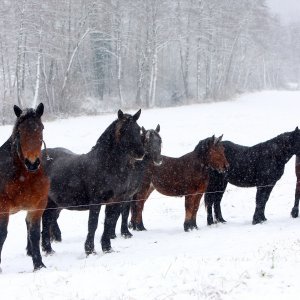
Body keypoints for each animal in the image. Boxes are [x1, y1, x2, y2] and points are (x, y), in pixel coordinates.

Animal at [0, 103, 49, 272]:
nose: (32, 162)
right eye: (20, 131)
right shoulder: (3, 208)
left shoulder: (37, 207)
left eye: (41, 128)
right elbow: (2, 235)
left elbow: (34, 234)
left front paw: (39, 265)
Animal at [41, 109, 145, 255]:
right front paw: (90, 250)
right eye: (123, 130)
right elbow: (93, 224)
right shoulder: (96, 201)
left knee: (47, 220)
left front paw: (107, 248)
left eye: (138, 129)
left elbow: (109, 222)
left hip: (54, 203)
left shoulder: (116, 200)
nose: (140, 153)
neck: (106, 166)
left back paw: (48, 250)